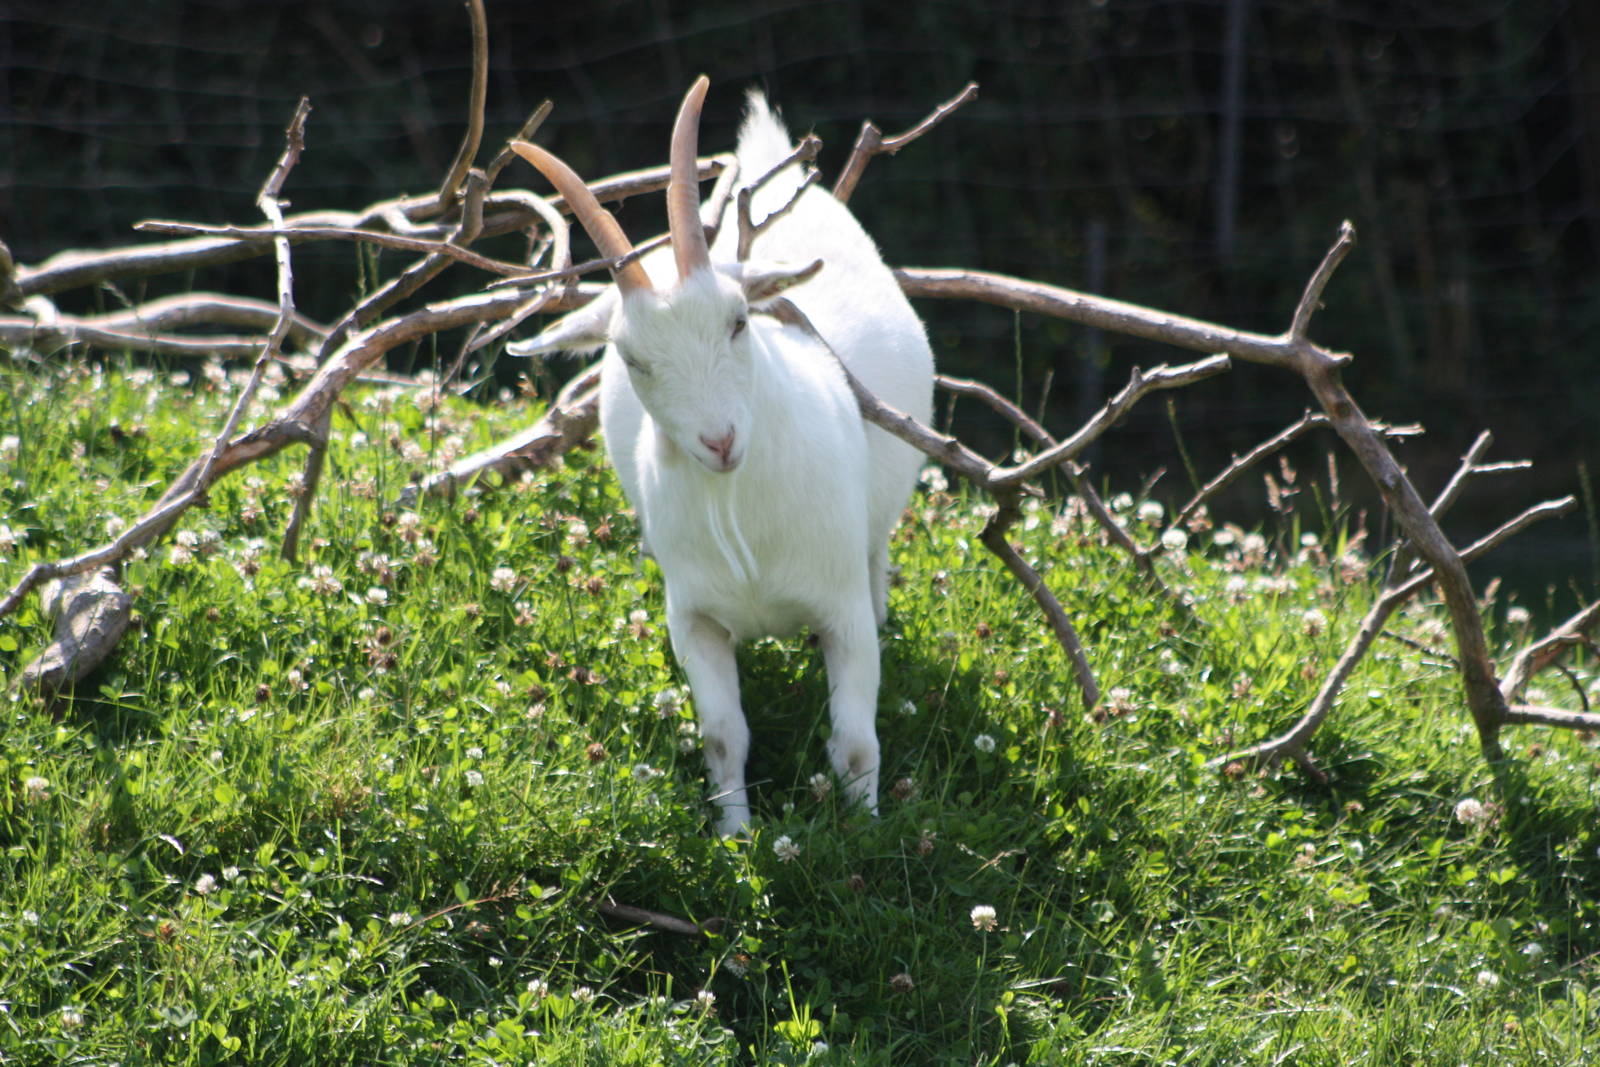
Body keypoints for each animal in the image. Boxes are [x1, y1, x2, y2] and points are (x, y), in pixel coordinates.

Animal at [508, 77, 934, 835]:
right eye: (631, 358)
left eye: (738, 321)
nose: (721, 441)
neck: (741, 516)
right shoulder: (695, 620)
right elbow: (722, 735)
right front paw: (735, 833)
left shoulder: (842, 612)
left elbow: (856, 742)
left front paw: (866, 835)